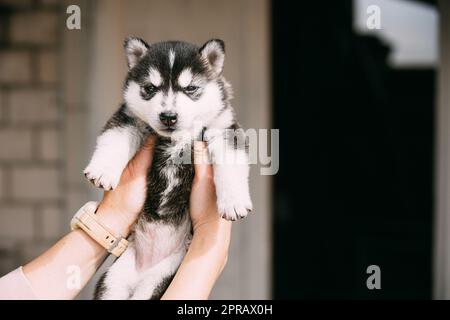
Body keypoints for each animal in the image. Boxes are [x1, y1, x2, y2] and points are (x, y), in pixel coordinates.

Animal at [83, 38, 253, 300]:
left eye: (191, 88)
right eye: (150, 88)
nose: (169, 116)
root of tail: (143, 268)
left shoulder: (225, 128)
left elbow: (231, 163)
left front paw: (234, 202)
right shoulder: (128, 119)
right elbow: (114, 139)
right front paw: (102, 170)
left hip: (161, 278)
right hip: (113, 281)